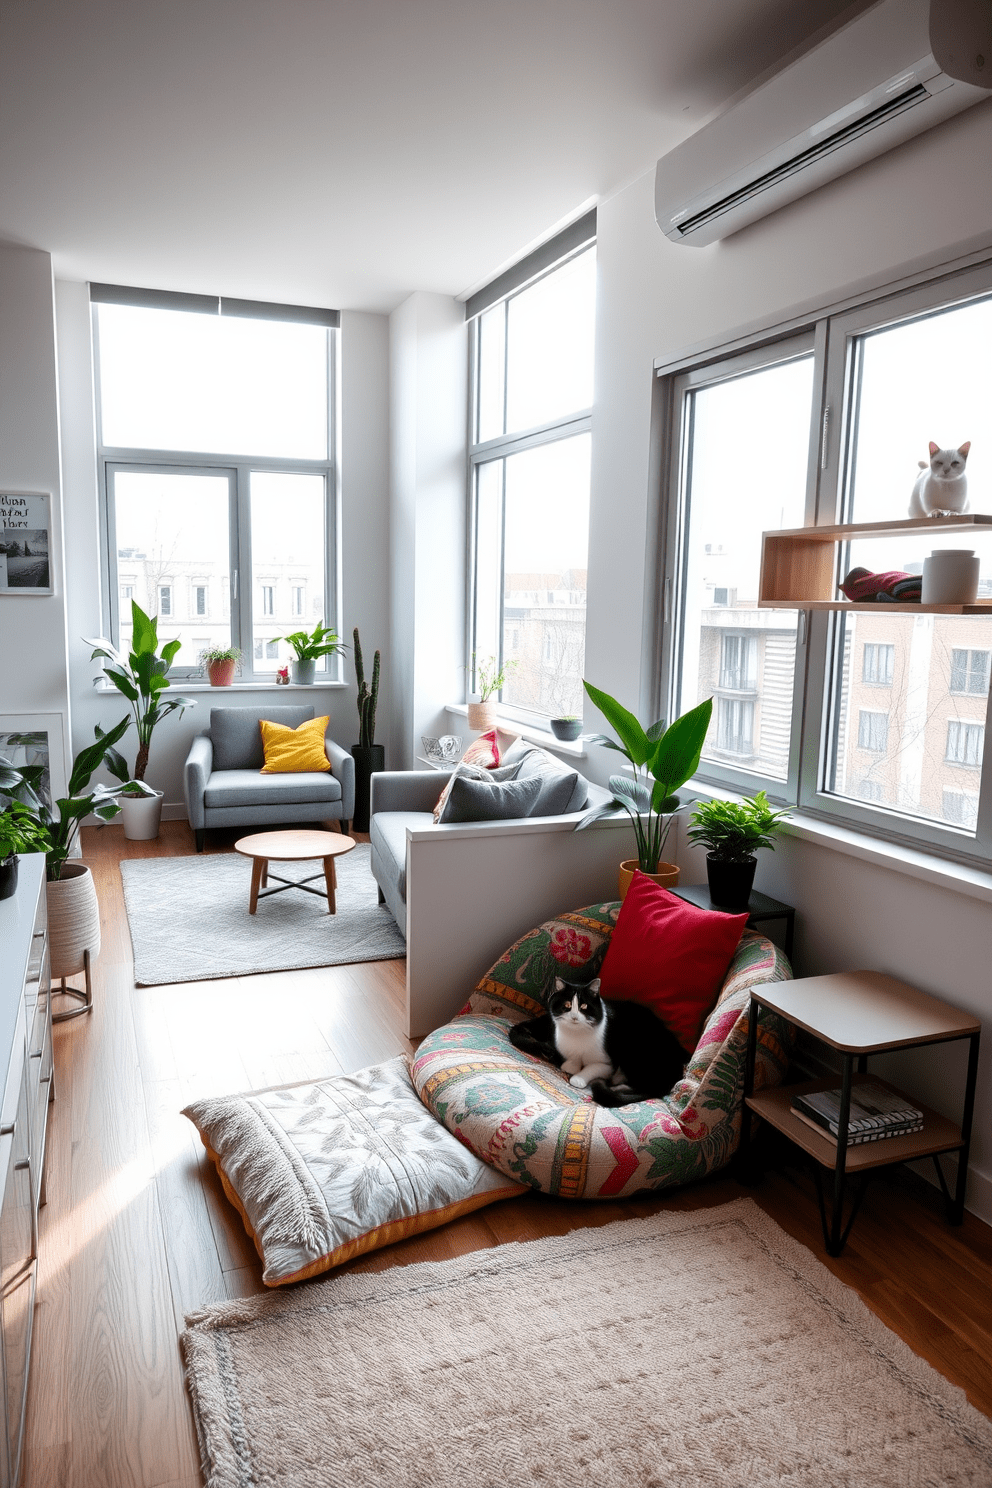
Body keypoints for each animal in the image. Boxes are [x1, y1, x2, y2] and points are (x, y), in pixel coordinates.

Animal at [508, 976, 687, 1107]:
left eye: (584, 1007)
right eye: (567, 1005)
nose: (574, 1017)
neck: (575, 1036)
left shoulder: (606, 1064)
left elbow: (590, 1069)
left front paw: (578, 1078)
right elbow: (571, 1062)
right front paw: (571, 1065)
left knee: (645, 1087)